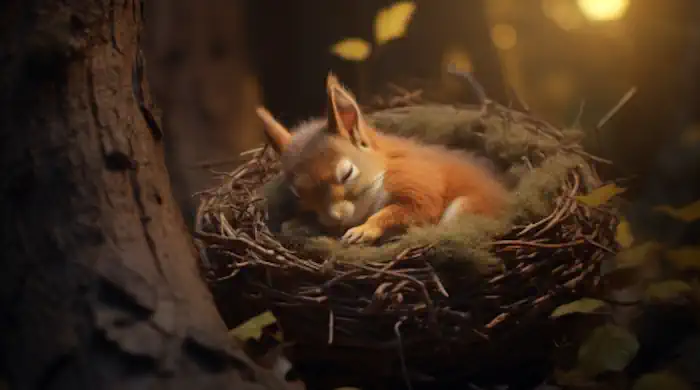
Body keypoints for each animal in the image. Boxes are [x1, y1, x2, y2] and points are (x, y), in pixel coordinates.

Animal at [254, 72, 506, 244]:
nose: (336, 217)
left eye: (347, 173)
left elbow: (415, 208)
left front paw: (364, 230)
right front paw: (299, 225)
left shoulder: (416, 177)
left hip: (468, 206)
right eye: (298, 194)